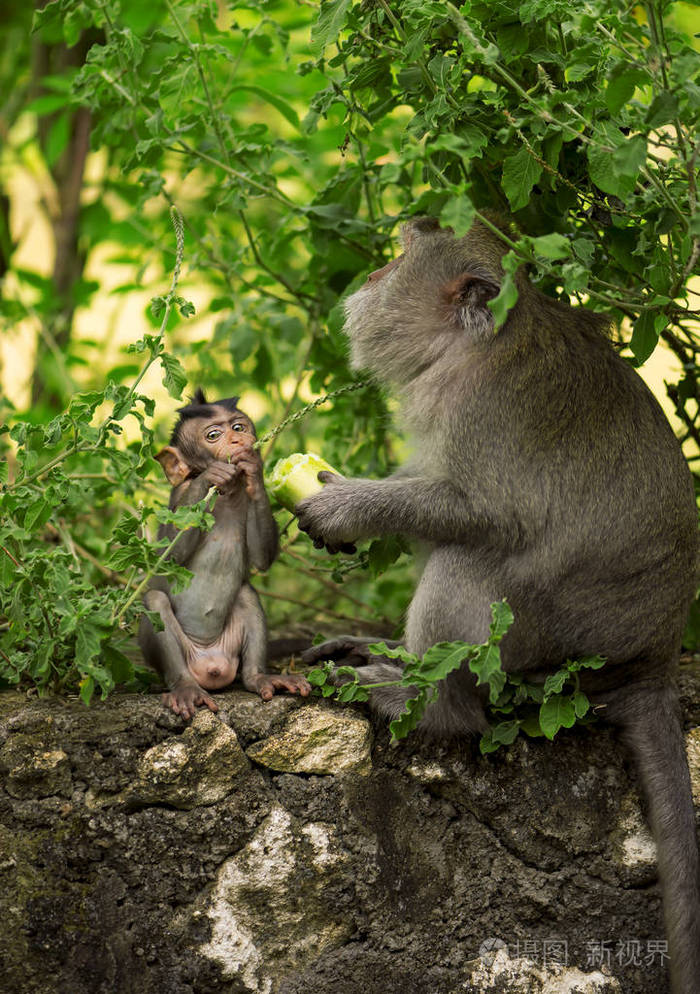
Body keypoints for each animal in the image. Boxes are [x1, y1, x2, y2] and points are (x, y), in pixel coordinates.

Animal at [139, 384, 308, 716]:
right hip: (181, 659)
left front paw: (254, 469)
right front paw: (210, 477)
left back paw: (259, 677)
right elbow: (166, 558)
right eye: (213, 435)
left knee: (246, 594)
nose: (237, 440)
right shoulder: (180, 496)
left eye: (239, 427)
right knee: (155, 601)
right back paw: (185, 688)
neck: (227, 495)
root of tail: (211, 666)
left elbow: (262, 559)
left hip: (231, 653)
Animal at [300, 213, 700, 988]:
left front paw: (345, 507)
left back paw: (428, 705)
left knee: (468, 564)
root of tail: (653, 661)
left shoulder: (485, 414)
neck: (474, 346)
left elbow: (484, 515)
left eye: (409, 250)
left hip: (552, 646)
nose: (410, 224)